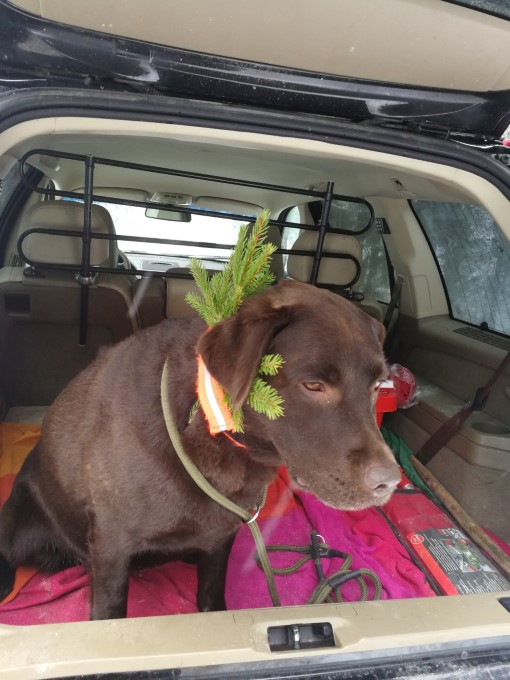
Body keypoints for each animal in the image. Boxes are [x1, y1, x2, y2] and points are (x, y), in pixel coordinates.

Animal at [0, 280, 400, 619]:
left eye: (377, 386)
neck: (203, 423)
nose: (389, 482)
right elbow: (109, 611)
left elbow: (212, 594)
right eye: (314, 385)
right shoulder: (111, 543)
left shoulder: (221, 534)